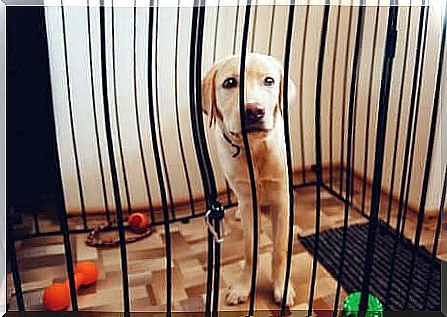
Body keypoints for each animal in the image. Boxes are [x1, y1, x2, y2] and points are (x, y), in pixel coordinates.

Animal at [203, 53, 298, 304]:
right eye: (229, 83)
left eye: (269, 81)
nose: (254, 110)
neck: (254, 148)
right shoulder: (248, 200)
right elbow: (250, 250)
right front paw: (243, 286)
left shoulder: (281, 198)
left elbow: (279, 250)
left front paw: (281, 286)